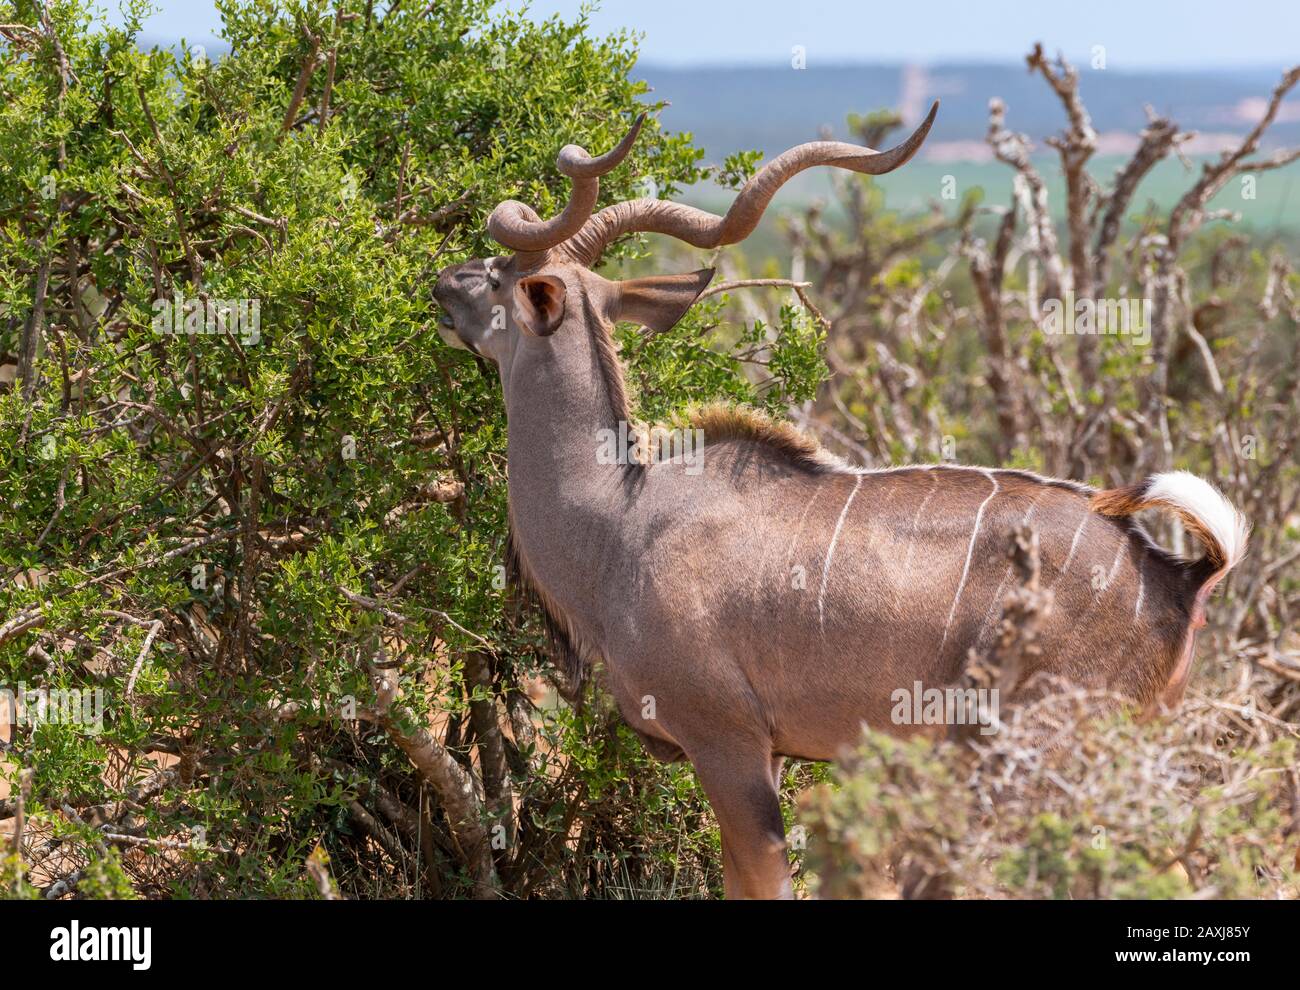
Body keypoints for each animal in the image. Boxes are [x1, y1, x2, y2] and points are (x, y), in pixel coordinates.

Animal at [434, 103, 1248, 899]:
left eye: (501, 278)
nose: (442, 285)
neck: (619, 515)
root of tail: (1181, 574)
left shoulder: (726, 740)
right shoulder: (768, 752)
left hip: (1037, 751)